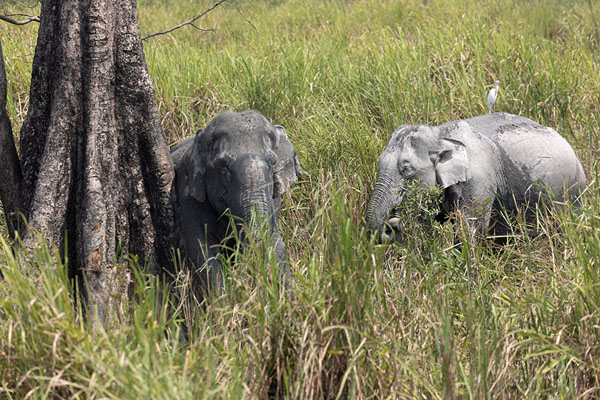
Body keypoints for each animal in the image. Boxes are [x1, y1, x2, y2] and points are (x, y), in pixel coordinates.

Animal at [170, 110, 302, 304]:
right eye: (224, 168)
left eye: (273, 163)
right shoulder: (188, 195)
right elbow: (202, 251)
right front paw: (222, 306)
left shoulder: (273, 201)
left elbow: (276, 244)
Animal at [366, 112, 584, 242]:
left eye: (407, 170)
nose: (391, 224)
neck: (440, 132)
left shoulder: (478, 179)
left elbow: (470, 230)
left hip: (573, 189)